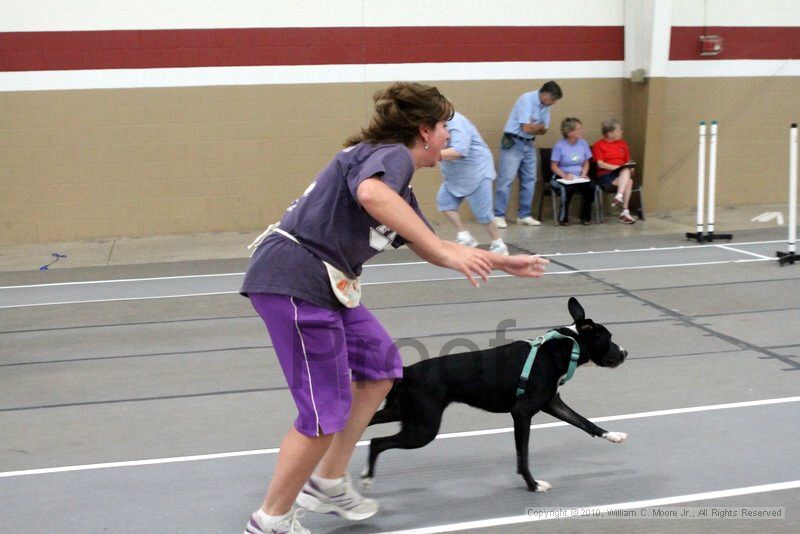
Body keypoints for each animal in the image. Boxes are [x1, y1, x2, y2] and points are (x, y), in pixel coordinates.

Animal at [362, 300, 632, 492]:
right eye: (608, 338)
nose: (626, 352)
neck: (565, 347)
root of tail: (407, 371)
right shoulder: (522, 413)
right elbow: (523, 454)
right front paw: (533, 485)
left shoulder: (552, 403)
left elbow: (583, 422)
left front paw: (612, 435)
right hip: (423, 428)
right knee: (379, 442)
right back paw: (366, 478)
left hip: (405, 413)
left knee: (371, 430)